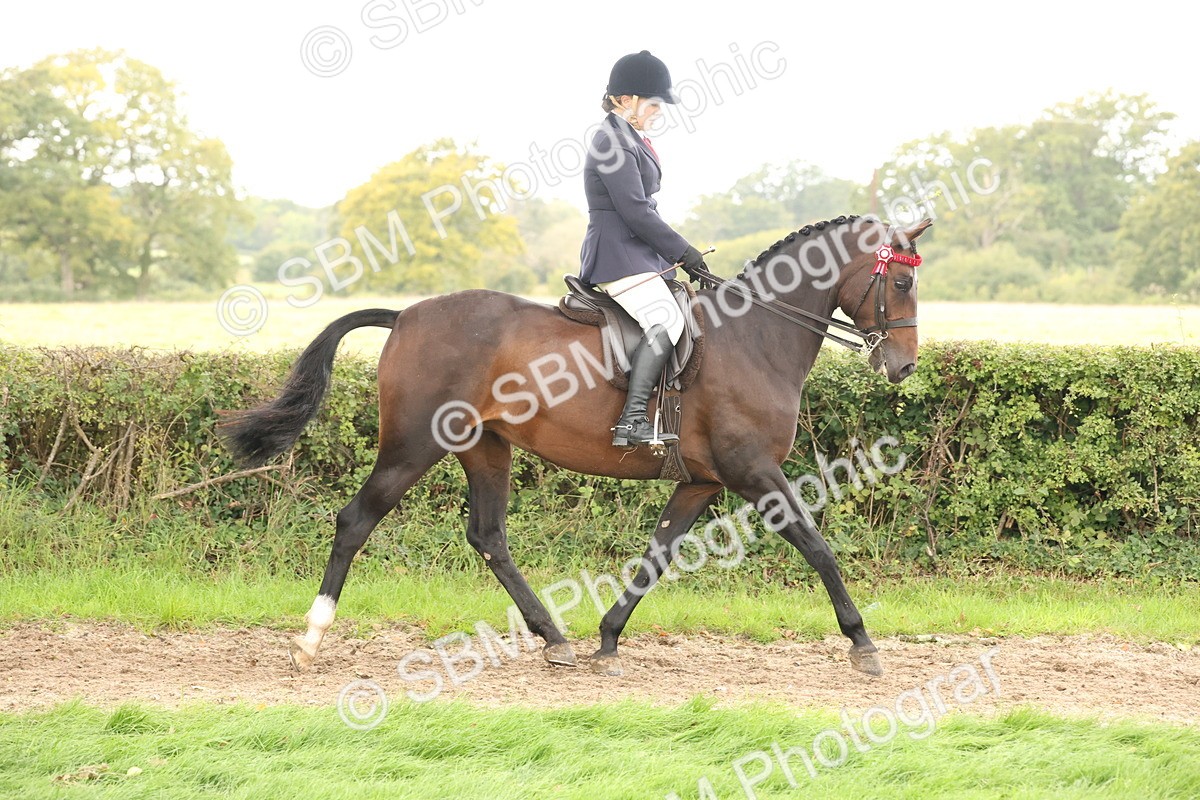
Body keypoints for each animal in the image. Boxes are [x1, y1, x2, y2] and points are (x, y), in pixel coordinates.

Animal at [219, 214, 932, 679]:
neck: (755, 335)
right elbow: (817, 545)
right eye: (901, 284)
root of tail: (406, 316)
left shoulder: (701, 480)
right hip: (411, 448)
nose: (902, 366)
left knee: (488, 536)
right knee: (356, 520)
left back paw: (554, 638)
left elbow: (655, 557)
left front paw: (608, 640)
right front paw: (862, 642)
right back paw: (310, 641)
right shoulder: (755, 472)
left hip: (484, 447)